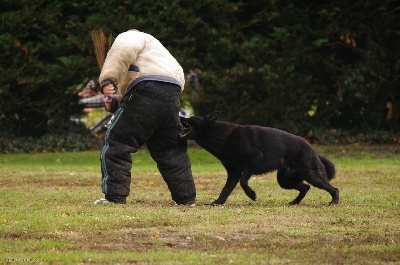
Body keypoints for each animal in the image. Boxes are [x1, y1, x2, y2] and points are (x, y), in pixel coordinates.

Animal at [180, 110, 340, 205]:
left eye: (191, 118)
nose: (179, 115)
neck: (219, 135)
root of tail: (313, 150)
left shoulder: (252, 160)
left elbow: (243, 182)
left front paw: (252, 195)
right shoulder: (233, 173)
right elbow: (226, 189)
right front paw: (218, 202)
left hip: (312, 176)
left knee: (333, 189)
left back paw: (334, 201)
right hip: (285, 180)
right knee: (305, 187)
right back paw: (294, 202)